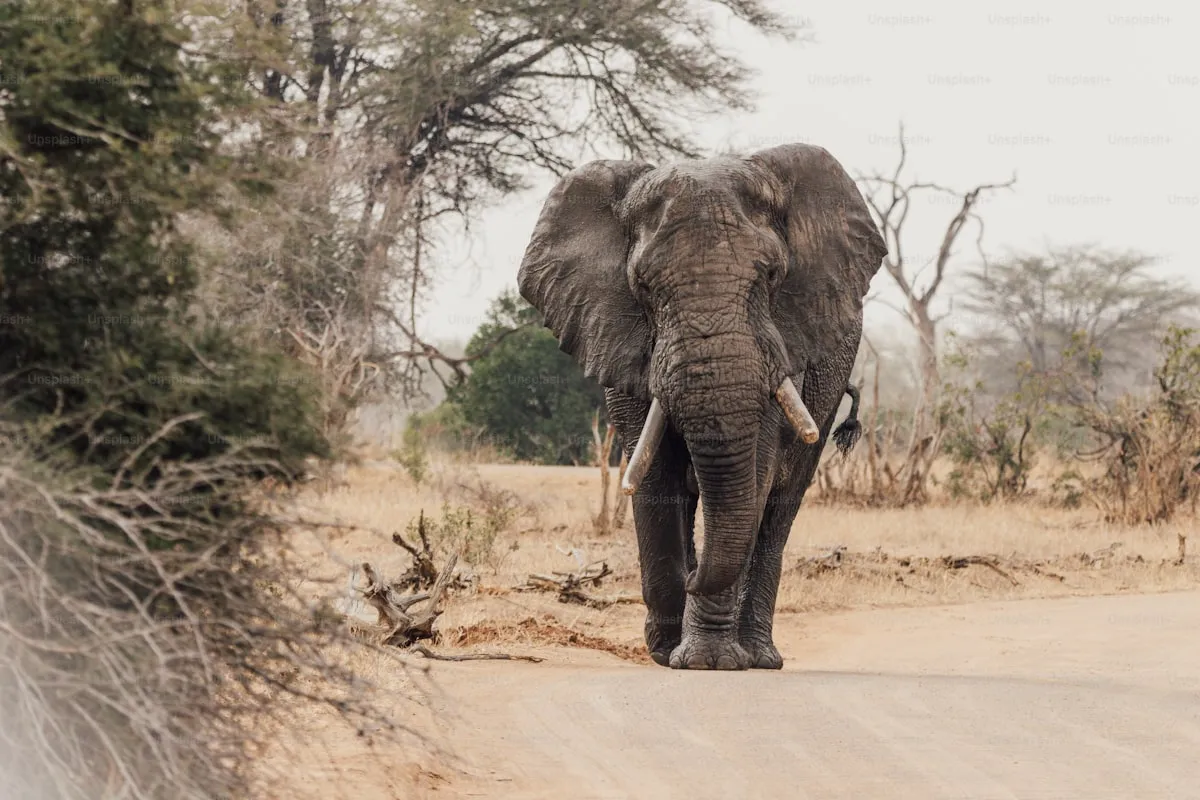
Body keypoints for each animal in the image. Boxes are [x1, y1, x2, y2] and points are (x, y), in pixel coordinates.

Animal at [517, 144, 887, 670]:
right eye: (644, 287)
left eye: (771, 276)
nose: (692, 577)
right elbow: (653, 476)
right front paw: (665, 651)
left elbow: (754, 476)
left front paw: (706, 661)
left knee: (779, 509)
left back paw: (760, 656)